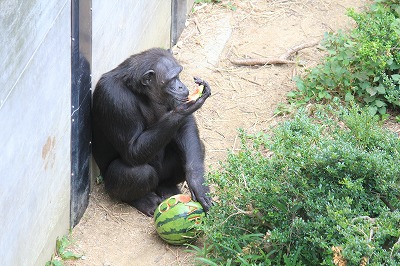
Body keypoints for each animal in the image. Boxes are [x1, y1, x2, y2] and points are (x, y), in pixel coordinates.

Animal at [91, 47, 212, 216]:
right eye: (172, 79)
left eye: (178, 75)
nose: (181, 86)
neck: (139, 91)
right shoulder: (114, 97)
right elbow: (132, 150)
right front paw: (183, 110)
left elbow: (185, 124)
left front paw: (197, 181)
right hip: (111, 187)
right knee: (138, 173)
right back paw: (143, 200)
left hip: (163, 176)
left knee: (198, 146)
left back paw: (167, 187)